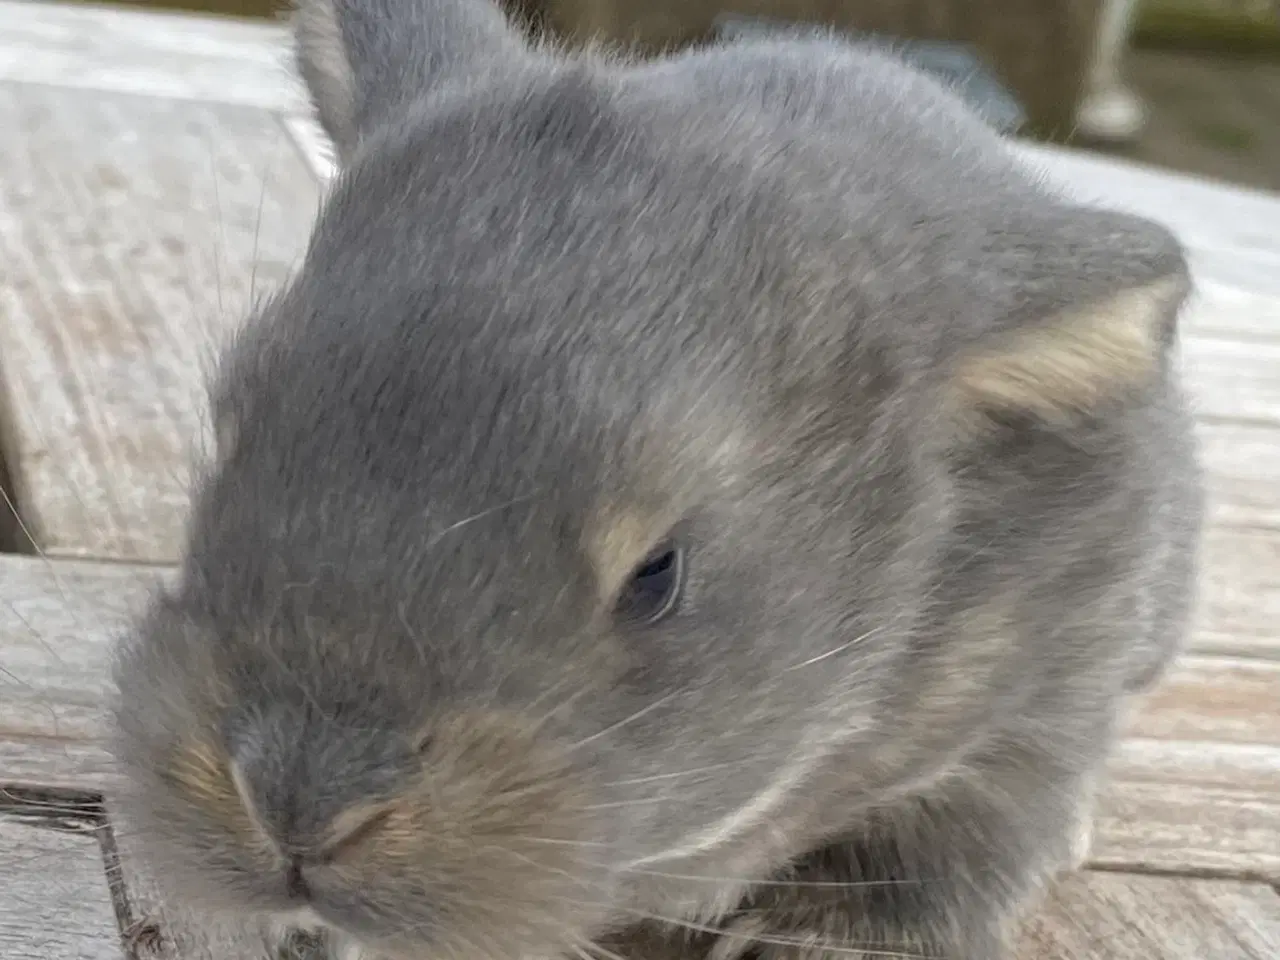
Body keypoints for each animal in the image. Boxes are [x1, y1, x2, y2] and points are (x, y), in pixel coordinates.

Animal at [107, 1, 1198, 960]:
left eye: (658, 575)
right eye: (230, 440)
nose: (299, 803)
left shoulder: (1044, 699)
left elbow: (967, 833)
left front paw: (826, 937)